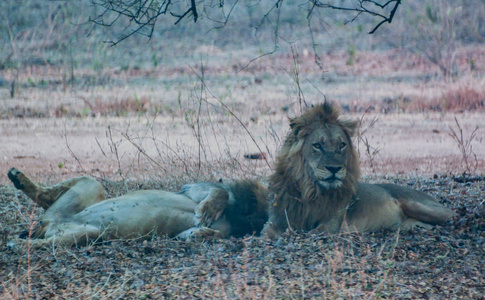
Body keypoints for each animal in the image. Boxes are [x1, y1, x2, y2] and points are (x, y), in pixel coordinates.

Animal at [7, 166, 266, 248]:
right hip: (92, 188)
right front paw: (207, 211)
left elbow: (207, 234)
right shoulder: (192, 189)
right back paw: (16, 177)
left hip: (87, 232)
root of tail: (48, 223)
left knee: (45, 234)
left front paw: (201, 234)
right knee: (44, 196)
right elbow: (220, 192)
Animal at [260, 101, 454, 239]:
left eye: (341, 145)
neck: (310, 191)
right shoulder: (276, 221)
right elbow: (265, 234)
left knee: (453, 215)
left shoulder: (330, 224)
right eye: (317, 146)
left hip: (421, 205)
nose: (334, 169)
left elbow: (311, 232)